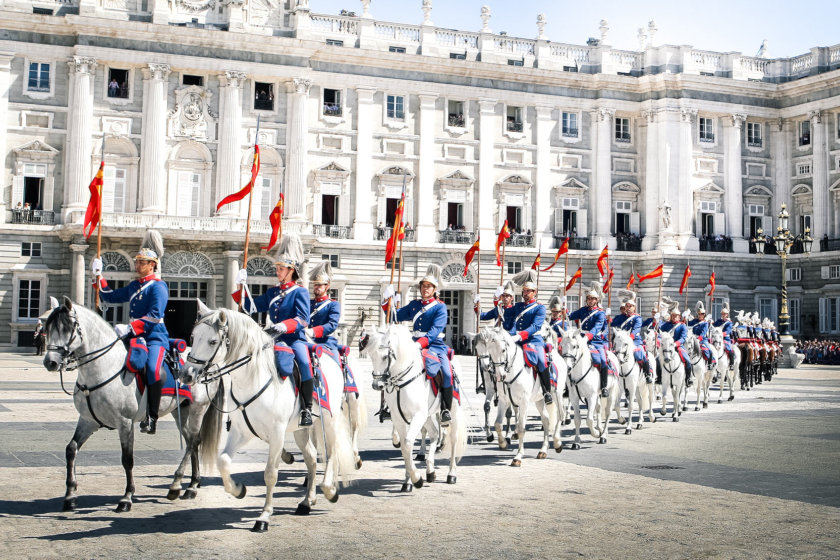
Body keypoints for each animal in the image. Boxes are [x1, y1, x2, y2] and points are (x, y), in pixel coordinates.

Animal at [41, 298, 223, 512]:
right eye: (47, 328)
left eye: (66, 328)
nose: (50, 362)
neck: (103, 368)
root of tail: (211, 364)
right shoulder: (87, 421)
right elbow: (71, 450)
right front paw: (70, 495)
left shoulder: (125, 423)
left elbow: (127, 459)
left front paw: (127, 497)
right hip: (181, 412)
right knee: (191, 442)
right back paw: (192, 484)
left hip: (197, 409)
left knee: (194, 442)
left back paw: (180, 486)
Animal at [180, 300, 354, 532]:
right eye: (192, 337)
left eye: (212, 341)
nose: (186, 375)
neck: (251, 379)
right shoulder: (241, 431)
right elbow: (223, 461)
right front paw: (238, 489)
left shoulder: (277, 433)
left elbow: (270, 474)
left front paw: (264, 516)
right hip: (300, 429)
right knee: (311, 458)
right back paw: (307, 501)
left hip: (329, 419)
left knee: (331, 453)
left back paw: (330, 489)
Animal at [360, 324, 466, 490]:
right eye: (371, 355)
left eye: (384, 356)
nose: (377, 385)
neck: (401, 380)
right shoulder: (399, 417)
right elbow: (404, 447)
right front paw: (408, 481)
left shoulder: (417, 416)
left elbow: (408, 443)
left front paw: (416, 479)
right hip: (427, 415)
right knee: (434, 433)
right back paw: (430, 471)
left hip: (452, 411)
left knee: (453, 439)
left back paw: (451, 474)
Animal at [476, 326, 560, 466]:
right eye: (490, 351)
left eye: (503, 350)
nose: (499, 375)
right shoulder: (503, 399)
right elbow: (498, 423)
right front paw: (503, 443)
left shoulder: (524, 402)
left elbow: (521, 428)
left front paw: (518, 456)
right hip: (539, 400)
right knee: (546, 419)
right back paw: (543, 450)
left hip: (558, 396)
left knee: (561, 416)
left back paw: (558, 443)